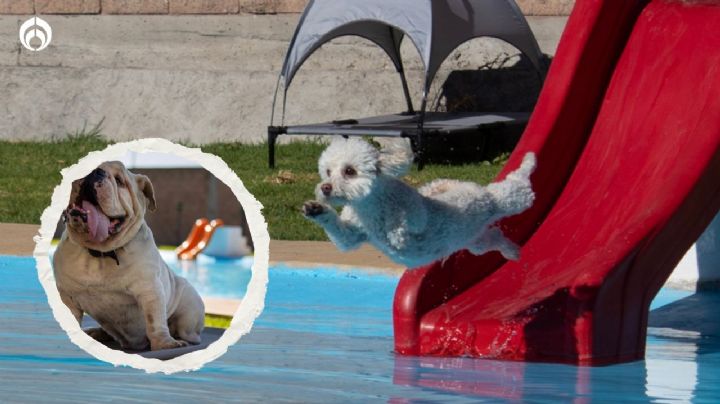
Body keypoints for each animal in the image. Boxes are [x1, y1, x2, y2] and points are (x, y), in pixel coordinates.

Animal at [300, 137, 536, 270]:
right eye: (328, 172)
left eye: (349, 171)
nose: (326, 187)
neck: (367, 205)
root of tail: (474, 187)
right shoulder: (353, 232)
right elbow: (345, 238)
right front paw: (315, 209)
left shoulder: (415, 209)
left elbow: (406, 219)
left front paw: (395, 229)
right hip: (475, 241)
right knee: (494, 237)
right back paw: (512, 252)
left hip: (504, 201)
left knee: (520, 189)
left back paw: (529, 162)